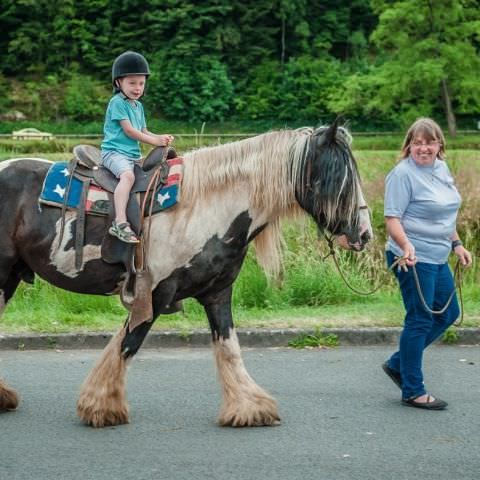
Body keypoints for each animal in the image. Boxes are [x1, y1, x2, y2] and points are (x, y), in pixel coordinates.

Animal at [0, 123, 372, 428]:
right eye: (338, 177)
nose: (365, 234)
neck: (204, 209)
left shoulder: (217, 293)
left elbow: (229, 347)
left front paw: (249, 407)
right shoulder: (154, 293)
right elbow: (127, 343)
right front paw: (101, 406)